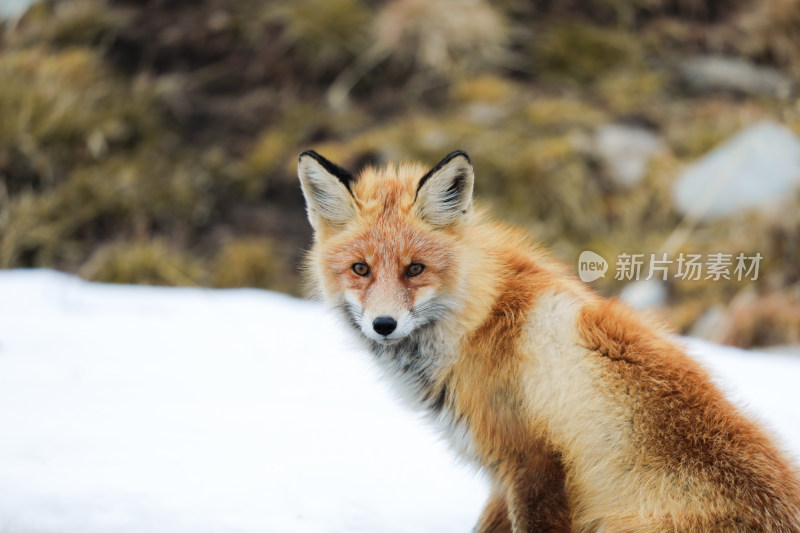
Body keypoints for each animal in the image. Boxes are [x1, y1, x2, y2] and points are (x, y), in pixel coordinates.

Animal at [296, 148, 800, 528]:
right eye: (361, 268)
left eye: (415, 269)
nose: (383, 324)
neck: (476, 321)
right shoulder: (500, 475)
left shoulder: (533, 464)